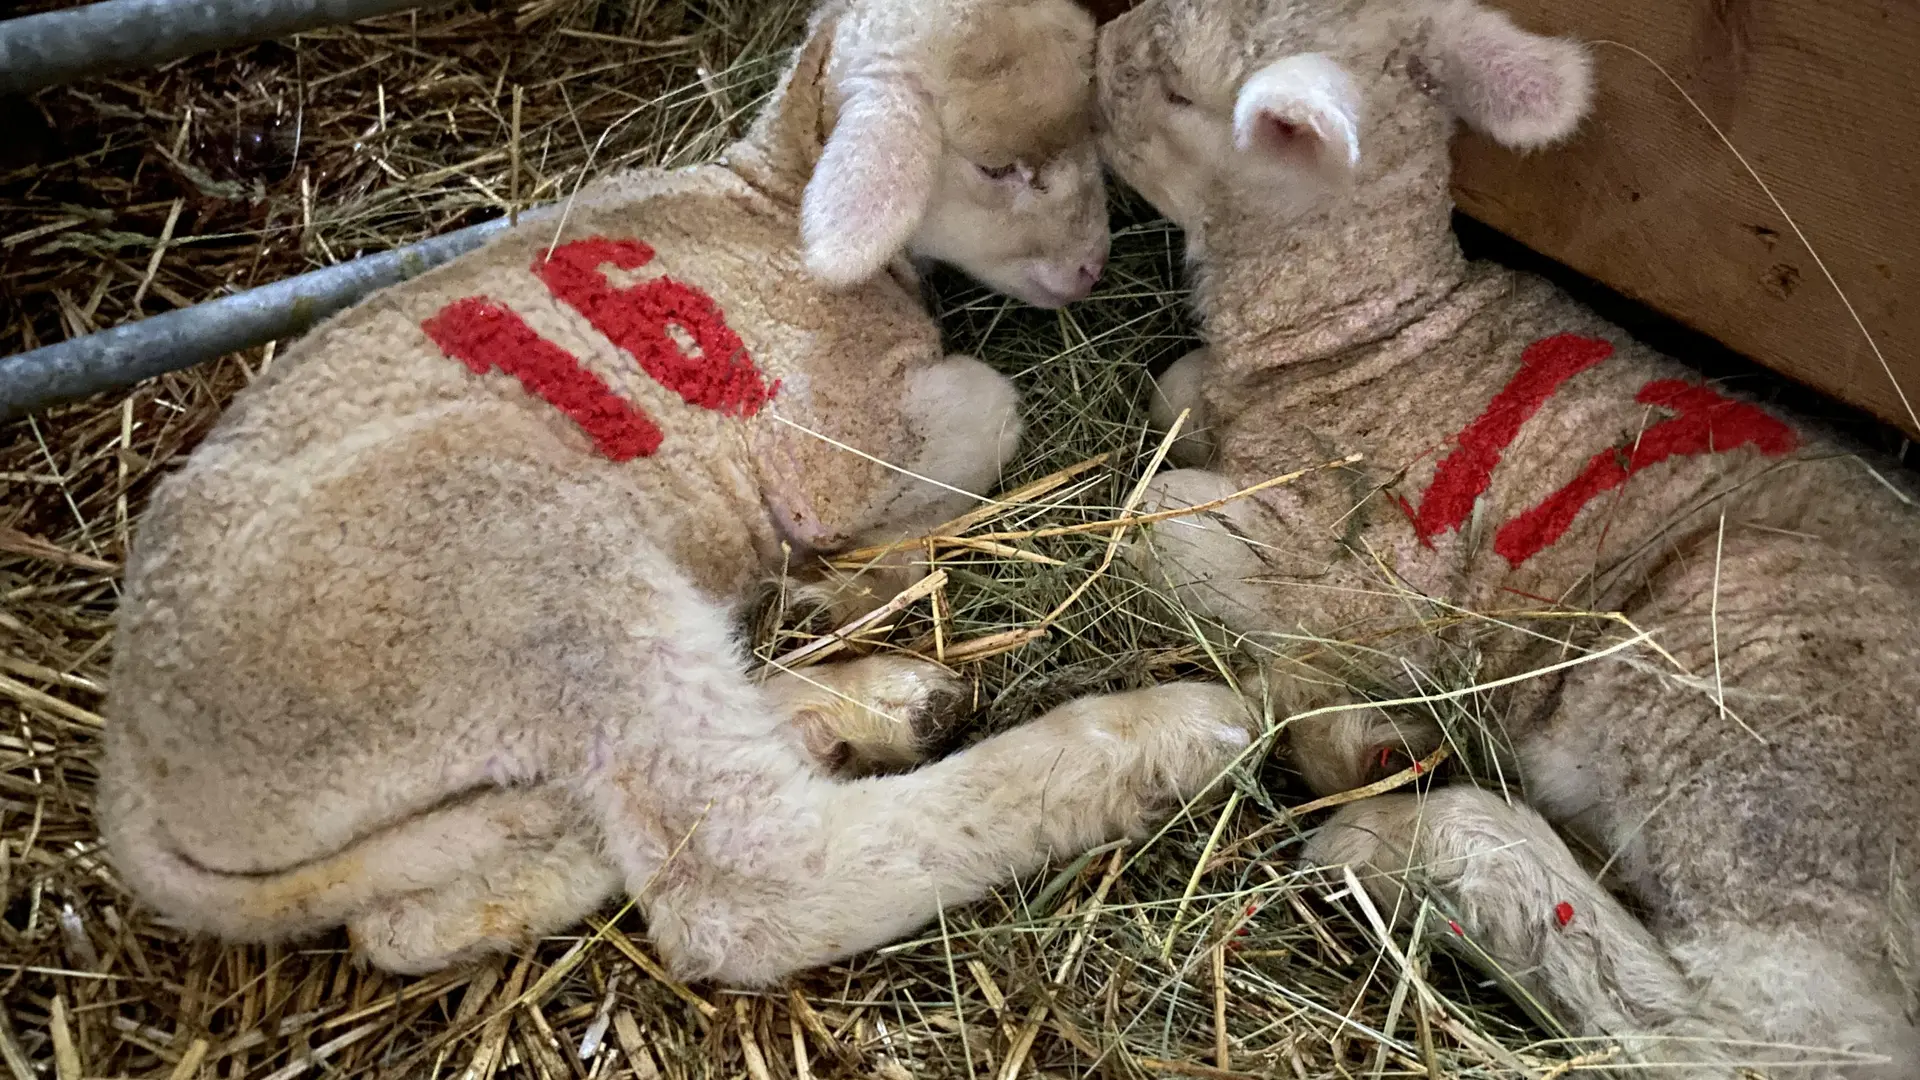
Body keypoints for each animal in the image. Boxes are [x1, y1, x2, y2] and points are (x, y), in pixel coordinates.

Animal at [97, 0, 1259, 983]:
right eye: (999, 166)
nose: (1090, 273)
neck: (774, 204)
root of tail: (138, 776)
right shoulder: (826, 432)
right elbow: (986, 409)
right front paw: (859, 563)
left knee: (418, 917)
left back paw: (860, 709)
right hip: (516, 570)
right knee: (744, 886)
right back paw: (1157, 743)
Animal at [1098, 0, 1920, 1068]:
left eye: (1180, 90)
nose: (1092, 60)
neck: (1374, 337)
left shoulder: (1377, 576)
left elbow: (1153, 519)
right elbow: (1175, 394)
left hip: (1762, 747)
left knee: (1756, 1039)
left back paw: (1396, 833)